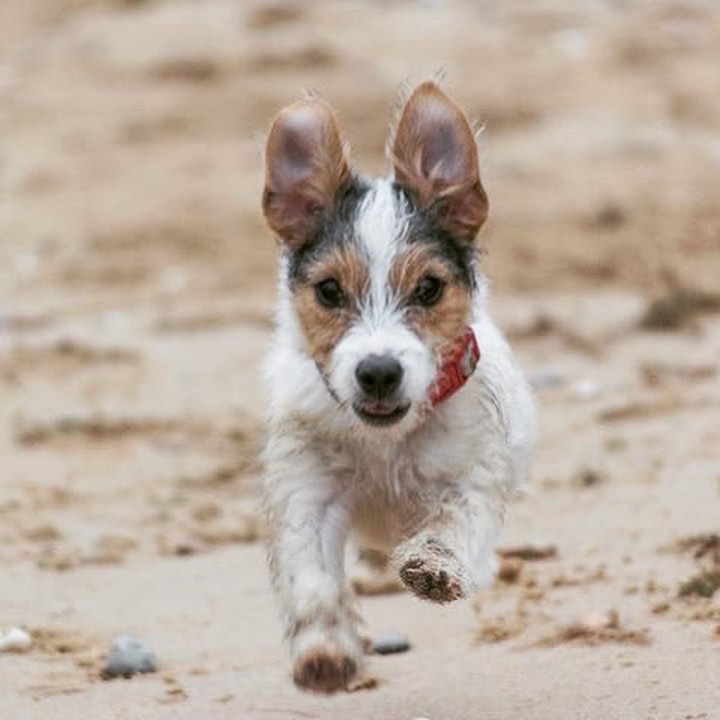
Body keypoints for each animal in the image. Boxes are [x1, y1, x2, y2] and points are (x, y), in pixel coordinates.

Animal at [258, 81, 536, 696]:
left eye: (429, 288)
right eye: (330, 291)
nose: (379, 371)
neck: (387, 440)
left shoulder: (473, 477)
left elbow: (454, 522)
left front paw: (434, 566)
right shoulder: (308, 488)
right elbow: (312, 576)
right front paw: (326, 652)